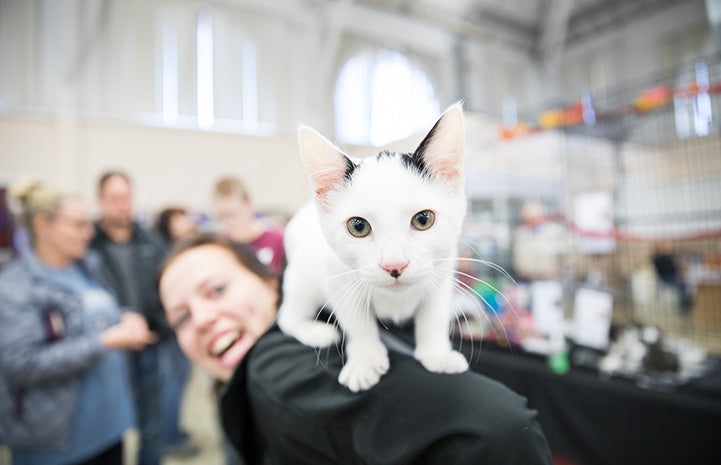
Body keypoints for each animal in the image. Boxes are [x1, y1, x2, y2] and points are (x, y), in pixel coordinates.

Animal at [276, 103, 466, 390]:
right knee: (286, 316)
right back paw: (315, 331)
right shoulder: (337, 276)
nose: (394, 265)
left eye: (423, 219)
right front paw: (365, 360)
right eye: (358, 227)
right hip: (301, 280)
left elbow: (434, 313)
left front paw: (437, 353)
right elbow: (357, 320)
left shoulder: (443, 269)